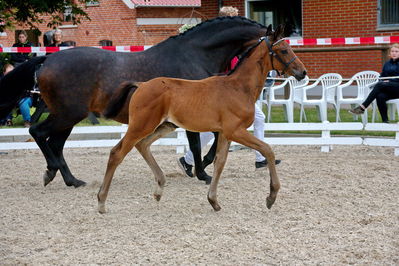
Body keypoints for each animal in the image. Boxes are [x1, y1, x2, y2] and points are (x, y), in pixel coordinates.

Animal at [98, 26, 308, 214]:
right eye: (283, 50)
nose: (302, 72)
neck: (238, 87)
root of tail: (141, 85)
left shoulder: (225, 133)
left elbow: (219, 162)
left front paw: (213, 200)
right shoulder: (235, 131)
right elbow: (267, 150)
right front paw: (271, 196)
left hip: (164, 126)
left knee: (142, 145)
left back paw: (159, 188)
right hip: (141, 126)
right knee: (117, 153)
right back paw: (101, 201)